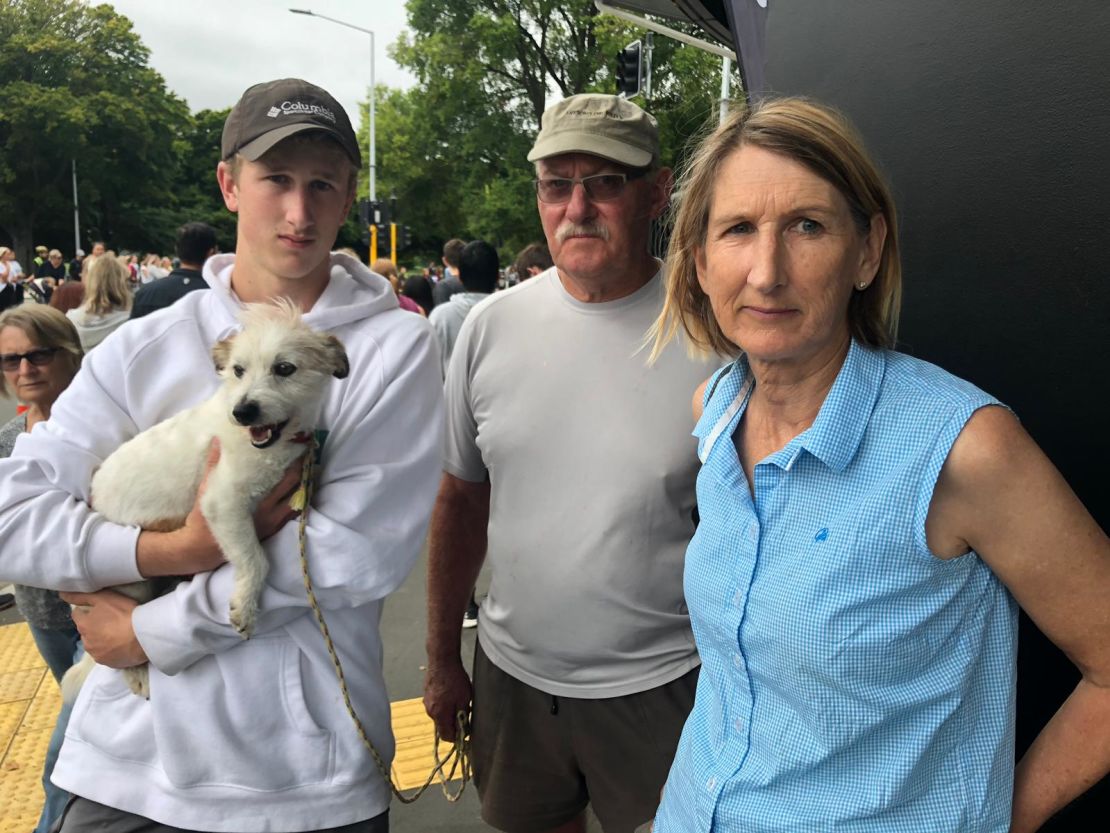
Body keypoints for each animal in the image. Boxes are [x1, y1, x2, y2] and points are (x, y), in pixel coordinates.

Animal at [62, 302, 348, 706]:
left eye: (284, 368)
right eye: (238, 370)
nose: (242, 412)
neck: (272, 447)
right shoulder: (223, 503)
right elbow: (256, 559)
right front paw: (244, 606)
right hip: (128, 587)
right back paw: (137, 676)